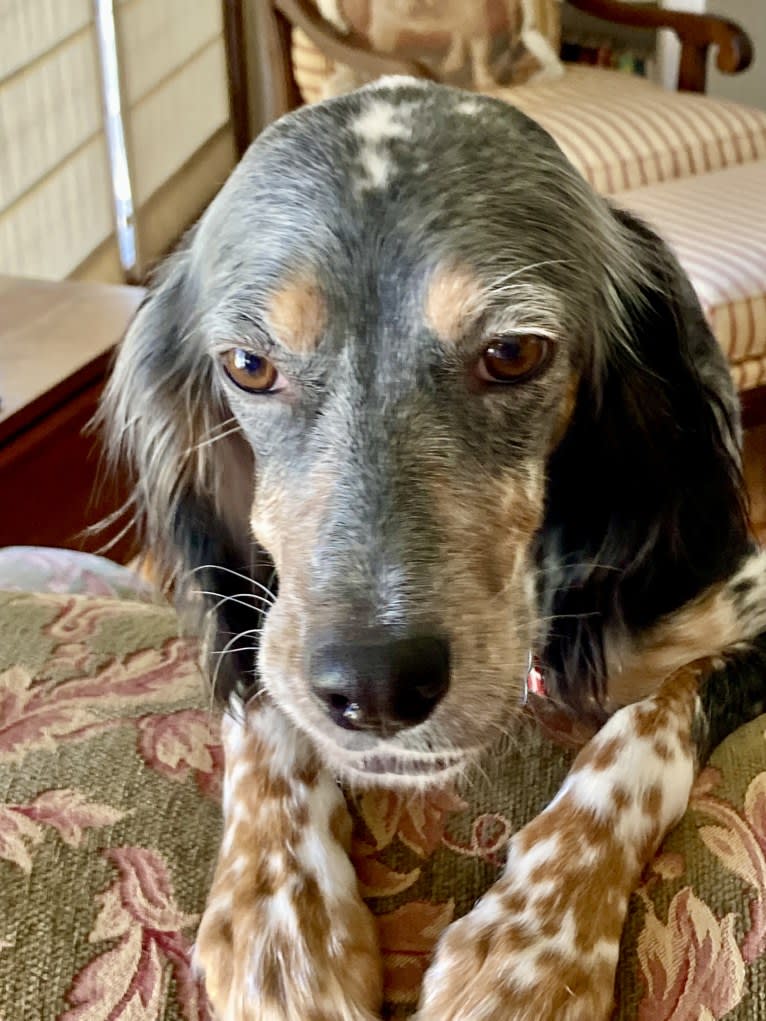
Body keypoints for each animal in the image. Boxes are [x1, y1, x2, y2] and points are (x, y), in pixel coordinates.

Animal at [102, 79, 766, 1021]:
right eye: (249, 365)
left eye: (514, 352)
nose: (375, 687)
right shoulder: (258, 618)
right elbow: (262, 703)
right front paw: (280, 920)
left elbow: (645, 726)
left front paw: (531, 951)